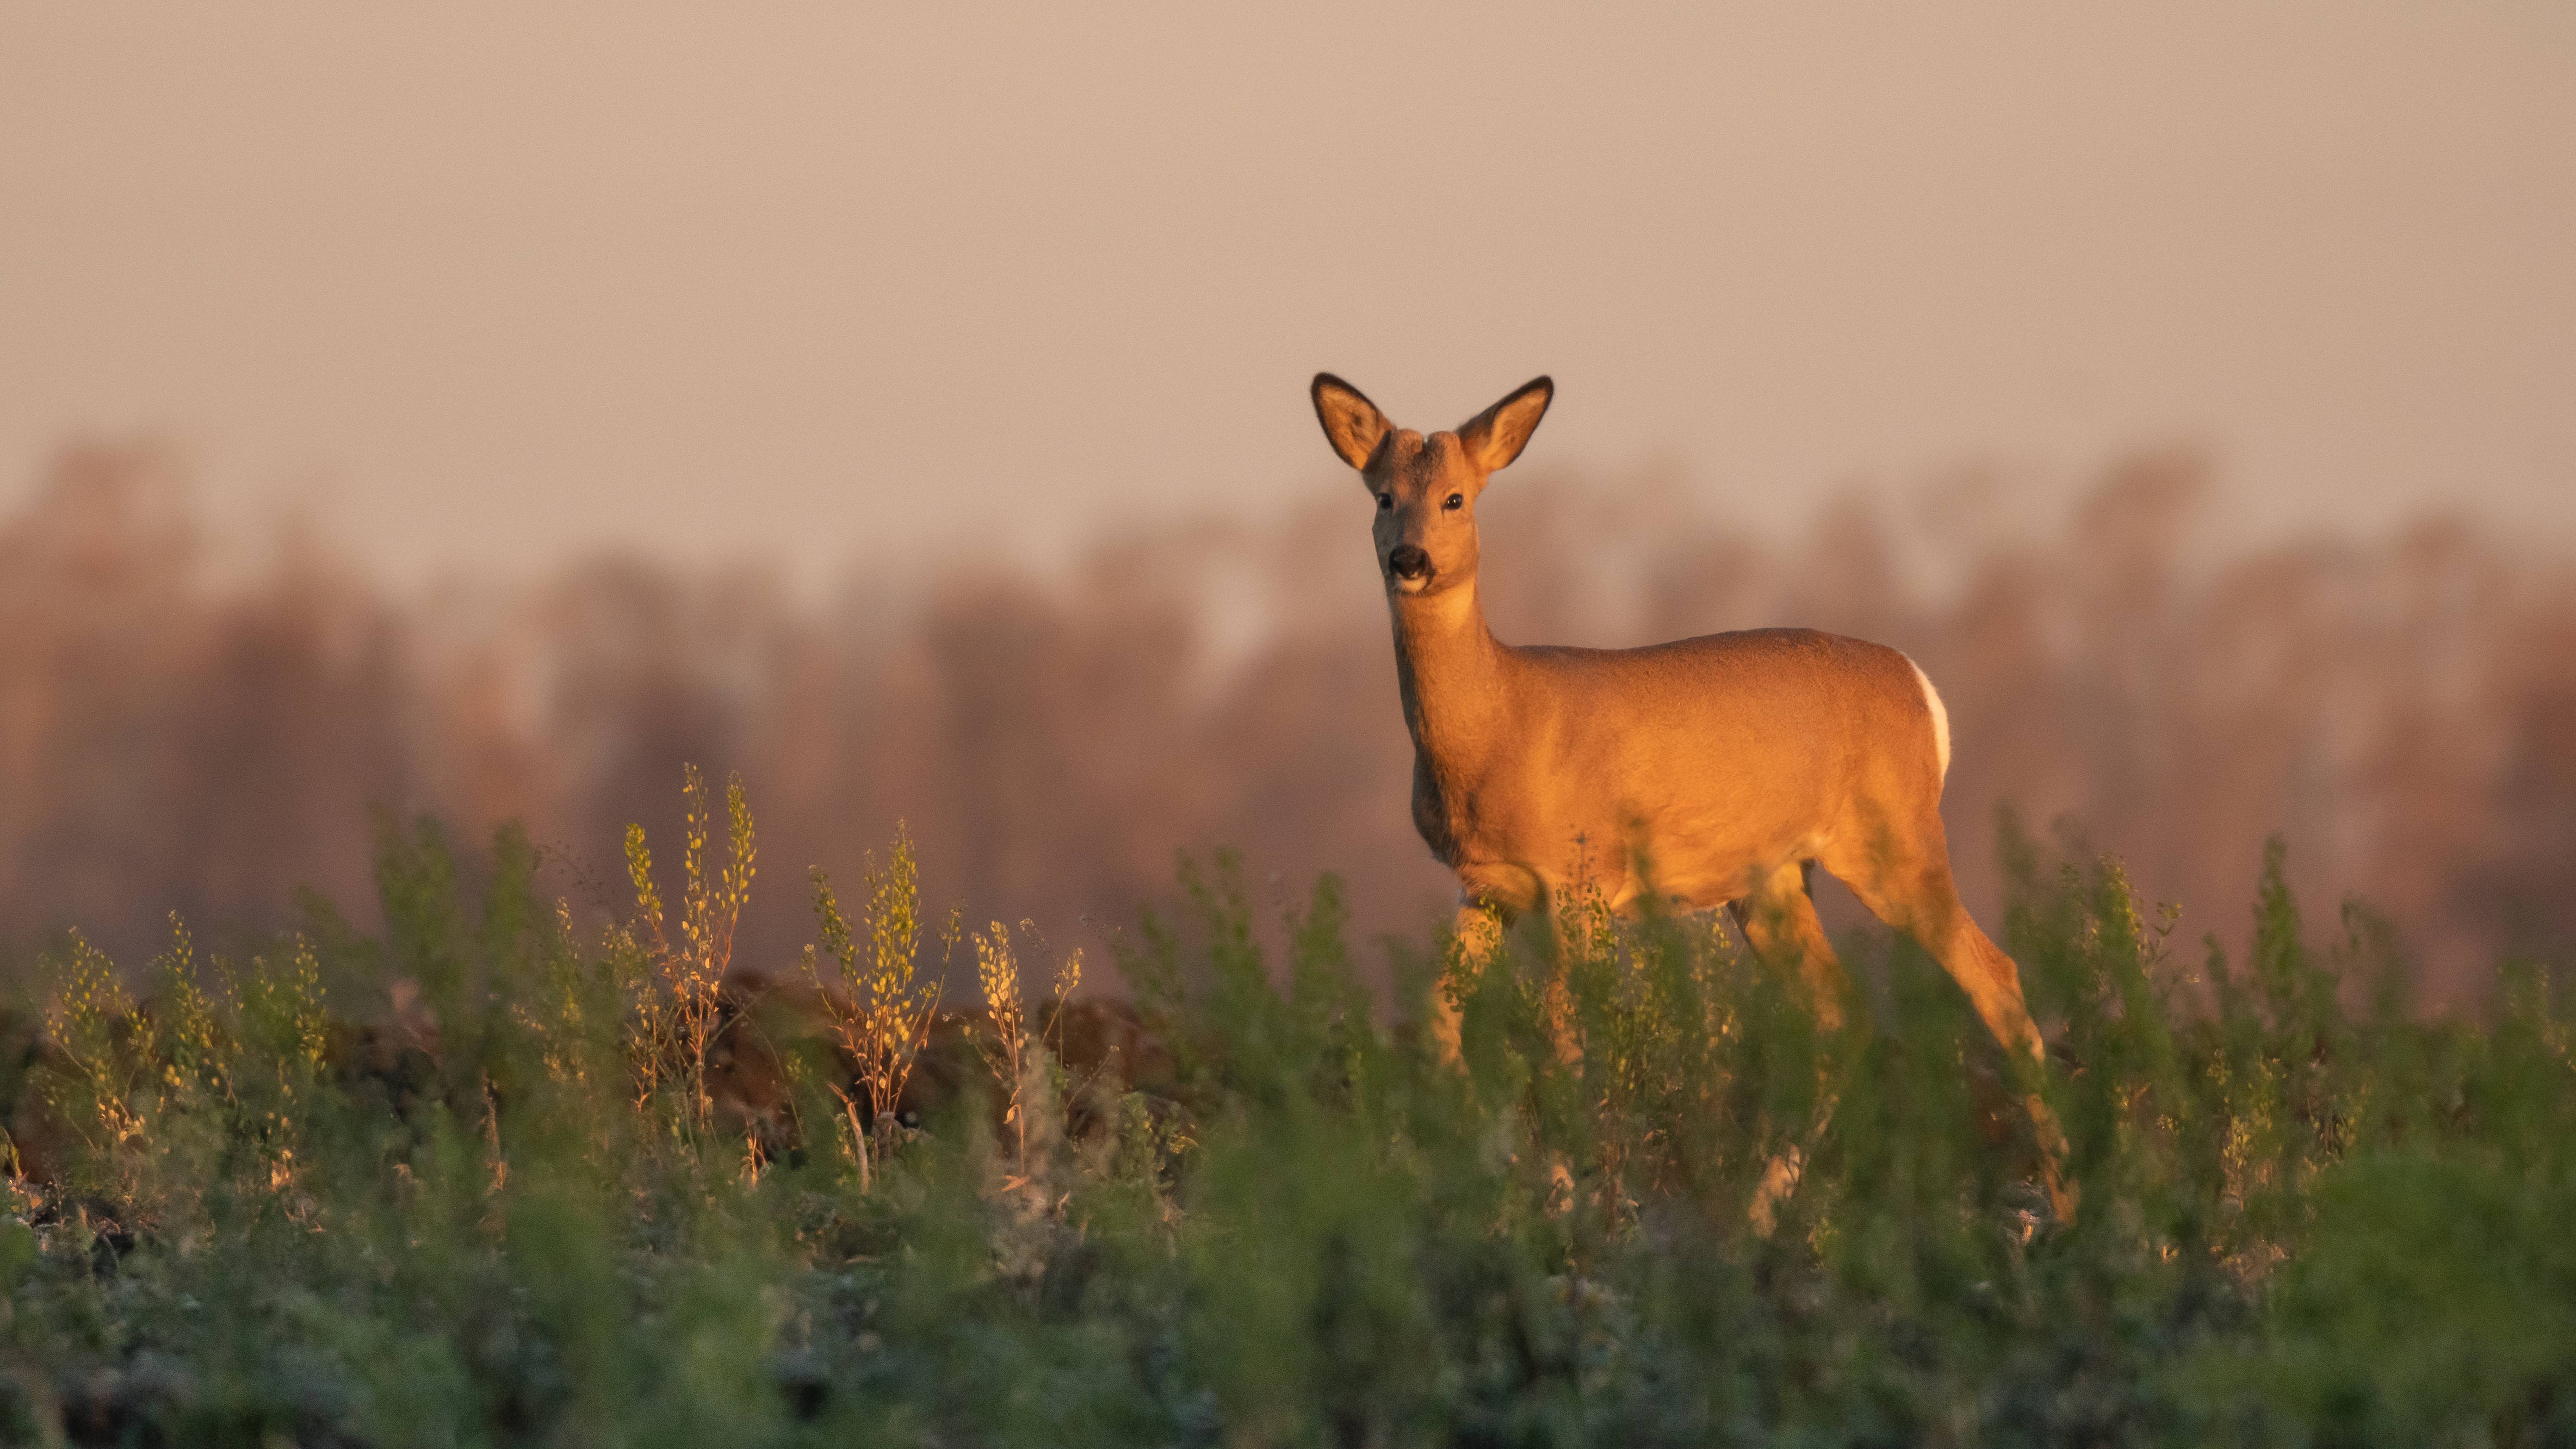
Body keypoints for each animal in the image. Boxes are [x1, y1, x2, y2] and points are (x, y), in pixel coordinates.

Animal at [1308, 368, 2071, 1217]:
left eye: (1455, 498)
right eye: (1382, 495)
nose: (1408, 558)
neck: (1500, 720)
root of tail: (1922, 688)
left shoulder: (1578, 881)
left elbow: (1563, 1046)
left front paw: (1571, 1198)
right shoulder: (1487, 888)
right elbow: (1440, 1025)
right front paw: (1503, 1170)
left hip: (1893, 843)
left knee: (1995, 979)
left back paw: (2068, 1203)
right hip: (1772, 882)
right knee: (1843, 1016)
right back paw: (1760, 1210)